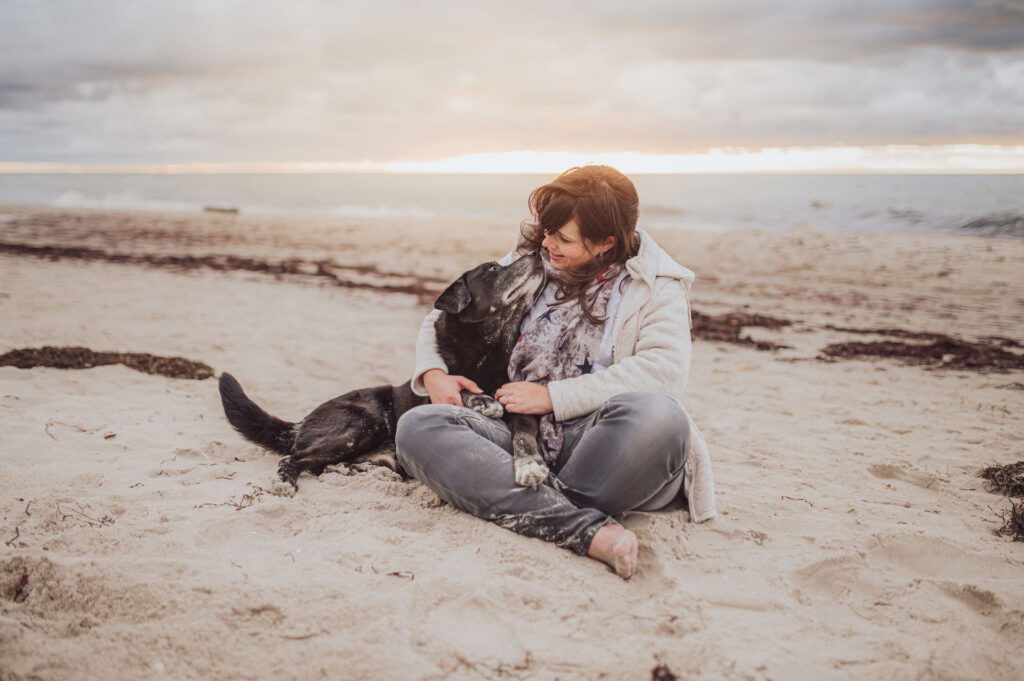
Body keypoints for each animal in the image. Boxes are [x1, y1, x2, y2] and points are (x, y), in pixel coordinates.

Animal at [218, 249, 552, 489]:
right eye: (492, 269)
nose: (539, 252)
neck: (489, 350)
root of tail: (300, 423)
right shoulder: (435, 391)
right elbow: (458, 386)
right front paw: (481, 400)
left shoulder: (522, 402)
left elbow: (524, 434)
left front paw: (530, 465)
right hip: (363, 423)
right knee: (293, 457)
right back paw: (286, 481)